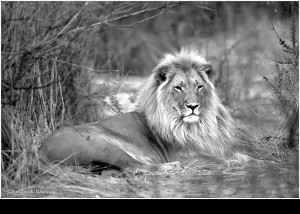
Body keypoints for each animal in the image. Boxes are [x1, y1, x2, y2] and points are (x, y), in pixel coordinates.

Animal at [39, 49, 251, 172]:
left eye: (199, 86)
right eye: (178, 88)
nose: (192, 106)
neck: (199, 126)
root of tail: (40, 150)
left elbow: (244, 156)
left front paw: (251, 160)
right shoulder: (189, 157)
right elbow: (218, 160)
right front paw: (235, 163)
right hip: (104, 145)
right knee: (134, 167)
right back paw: (170, 167)